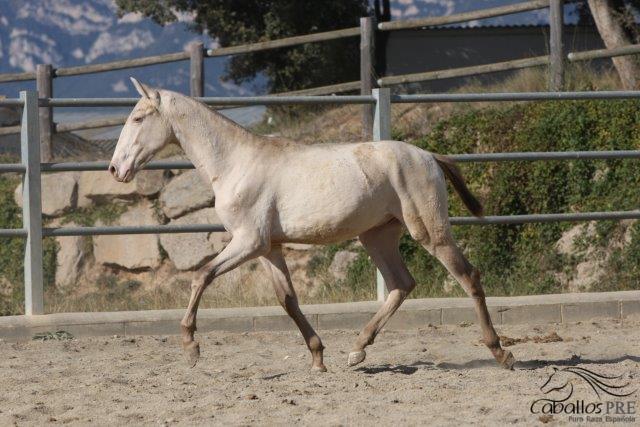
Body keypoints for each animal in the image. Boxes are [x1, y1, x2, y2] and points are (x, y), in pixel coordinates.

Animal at [107, 78, 516, 372]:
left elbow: (201, 276)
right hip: (377, 236)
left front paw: (191, 347)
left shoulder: (248, 241)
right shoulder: (268, 248)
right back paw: (356, 351)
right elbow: (287, 299)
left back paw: (500, 353)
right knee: (402, 284)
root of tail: (429, 156)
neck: (235, 163)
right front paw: (318, 357)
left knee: (468, 276)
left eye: (138, 118)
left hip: (428, 231)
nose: (115, 169)